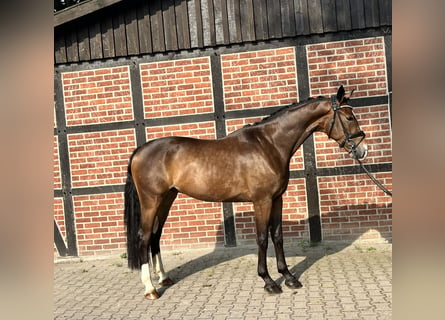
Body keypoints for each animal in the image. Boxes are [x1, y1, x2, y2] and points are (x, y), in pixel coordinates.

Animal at [123, 84, 366, 298]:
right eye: (349, 117)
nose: (362, 149)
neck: (269, 144)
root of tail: (140, 150)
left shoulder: (277, 199)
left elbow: (277, 236)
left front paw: (288, 277)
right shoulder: (262, 201)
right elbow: (262, 238)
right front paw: (269, 282)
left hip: (167, 198)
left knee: (156, 236)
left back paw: (164, 278)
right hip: (151, 201)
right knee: (144, 237)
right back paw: (150, 289)